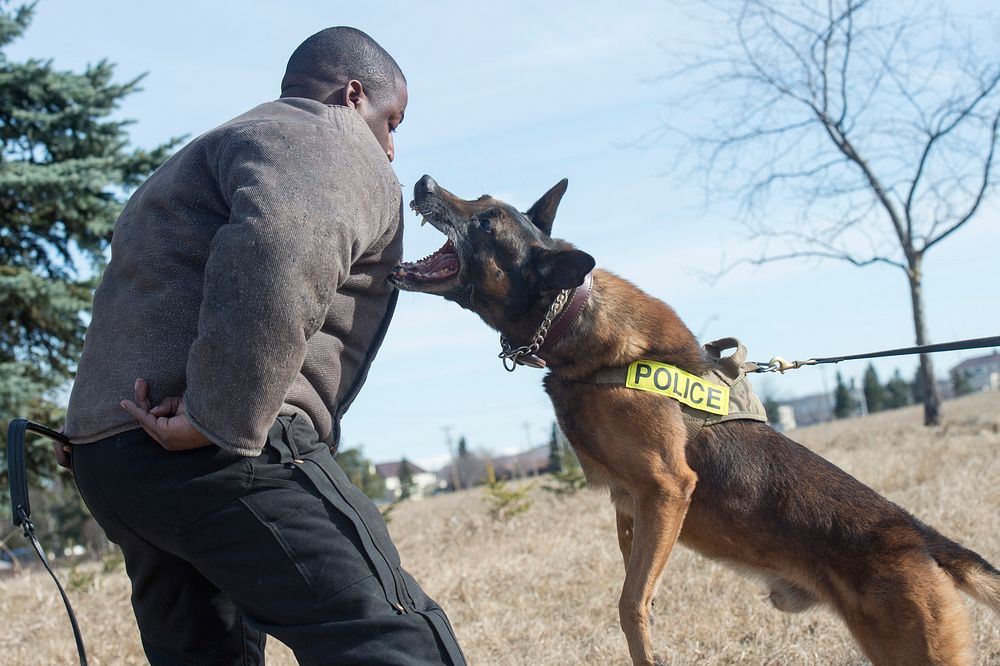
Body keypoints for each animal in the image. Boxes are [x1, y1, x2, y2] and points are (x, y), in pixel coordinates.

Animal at [388, 174, 1000, 660]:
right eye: (481, 200)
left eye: (486, 221)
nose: (421, 181)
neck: (572, 323)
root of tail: (921, 540)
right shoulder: (630, 504)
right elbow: (635, 586)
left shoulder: (667, 487)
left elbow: (631, 605)